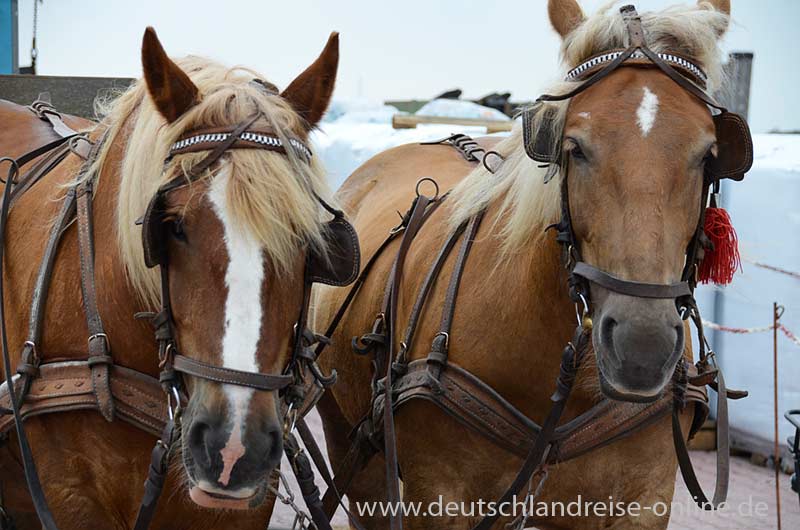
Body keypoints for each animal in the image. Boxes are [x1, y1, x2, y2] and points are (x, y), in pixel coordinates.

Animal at [316, 1, 748, 528]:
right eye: (574, 147)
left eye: (709, 154)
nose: (641, 347)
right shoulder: (439, 495)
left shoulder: (645, 499)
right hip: (351, 446)